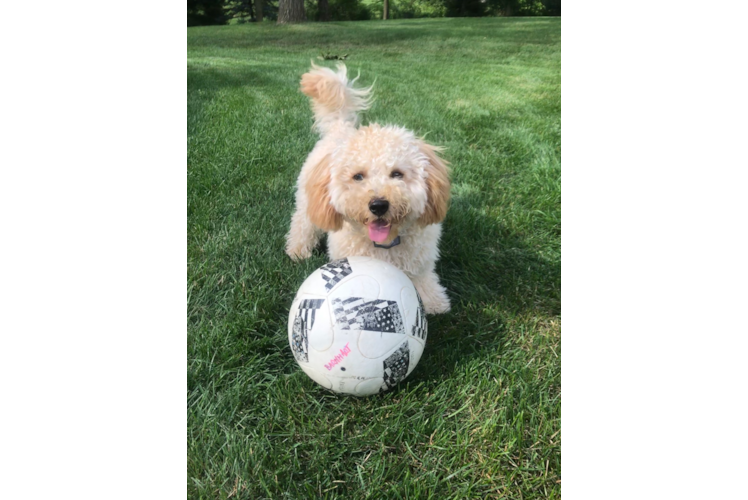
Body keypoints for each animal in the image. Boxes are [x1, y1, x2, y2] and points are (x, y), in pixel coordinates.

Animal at [284, 61, 450, 312]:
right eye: (358, 176)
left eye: (397, 174)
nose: (378, 205)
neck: (385, 244)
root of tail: (341, 128)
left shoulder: (421, 261)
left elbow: (424, 280)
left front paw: (435, 303)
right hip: (307, 201)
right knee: (302, 224)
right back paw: (298, 250)